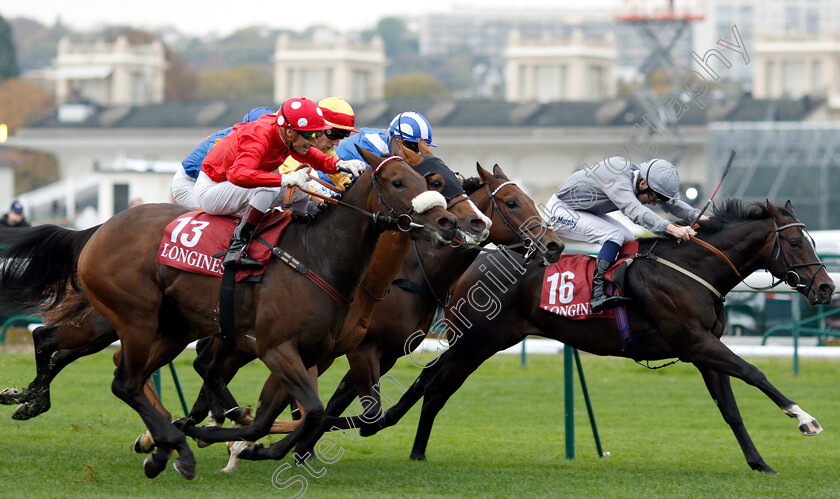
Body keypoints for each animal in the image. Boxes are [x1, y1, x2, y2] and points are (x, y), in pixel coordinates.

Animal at [1, 148, 460, 480]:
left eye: (426, 181)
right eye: (399, 182)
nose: (448, 223)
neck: (319, 257)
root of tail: (100, 228)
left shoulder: (309, 353)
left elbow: (286, 417)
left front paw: (238, 441)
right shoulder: (278, 348)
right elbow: (311, 411)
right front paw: (223, 438)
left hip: (169, 329)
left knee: (79, 353)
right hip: (135, 317)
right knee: (121, 379)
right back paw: (172, 448)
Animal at [360, 198, 832, 472]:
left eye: (809, 240)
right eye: (794, 243)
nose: (827, 287)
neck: (693, 269)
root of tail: (474, 263)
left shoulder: (701, 349)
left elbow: (730, 410)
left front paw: (759, 463)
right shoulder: (697, 341)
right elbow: (755, 373)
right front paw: (805, 419)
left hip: (482, 343)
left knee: (434, 385)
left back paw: (415, 449)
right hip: (476, 341)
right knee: (435, 386)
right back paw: (410, 445)